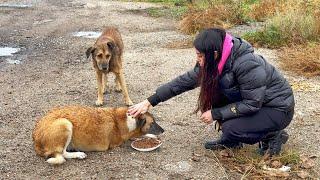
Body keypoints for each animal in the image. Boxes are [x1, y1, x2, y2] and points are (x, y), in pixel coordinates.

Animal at [31, 105, 165, 165]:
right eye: (152, 123)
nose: (163, 130)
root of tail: (36, 140)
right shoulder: (119, 141)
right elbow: (138, 136)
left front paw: (153, 137)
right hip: (65, 123)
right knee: (62, 154)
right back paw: (78, 154)